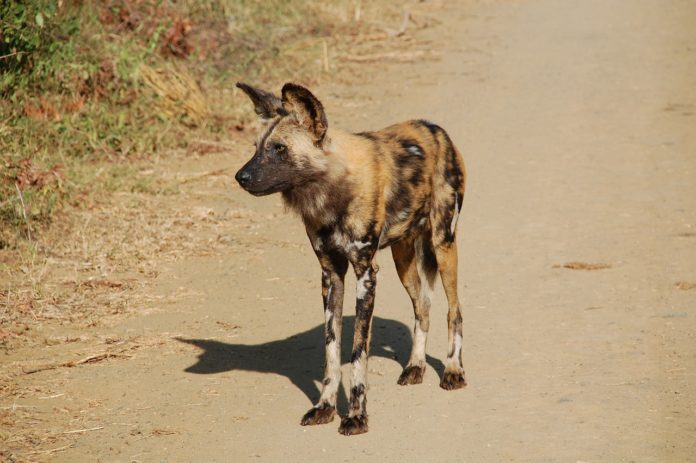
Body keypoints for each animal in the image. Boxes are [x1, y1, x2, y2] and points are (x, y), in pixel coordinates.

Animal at [235, 82, 468, 436]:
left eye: (279, 149)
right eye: (256, 147)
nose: (240, 177)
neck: (331, 193)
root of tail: (435, 128)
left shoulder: (365, 274)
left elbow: (358, 353)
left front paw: (356, 416)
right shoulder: (331, 274)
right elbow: (331, 352)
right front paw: (325, 408)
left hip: (443, 246)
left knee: (454, 311)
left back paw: (453, 370)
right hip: (404, 260)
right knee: (422, 308)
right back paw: (415, 366)